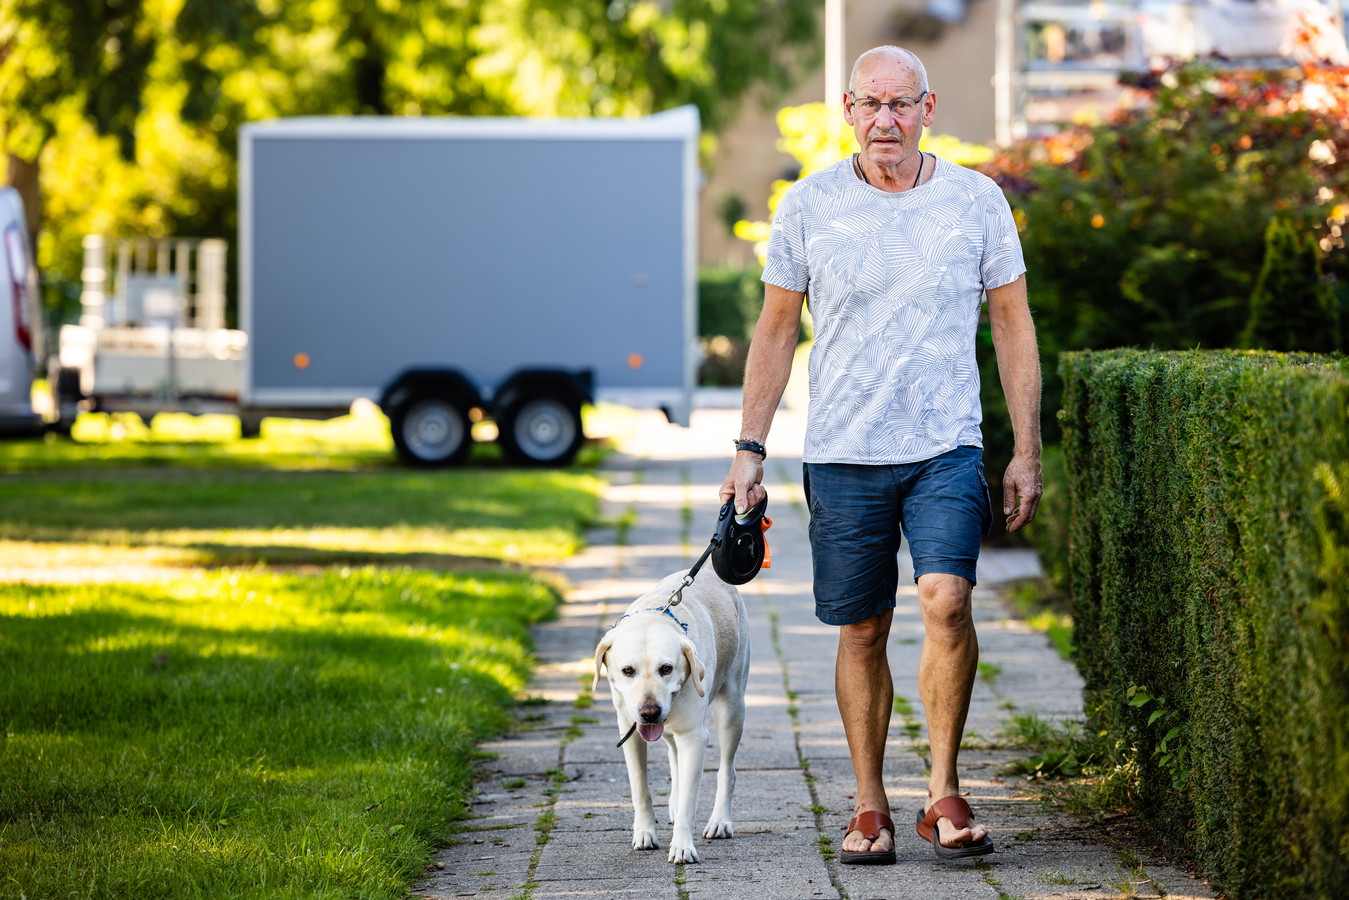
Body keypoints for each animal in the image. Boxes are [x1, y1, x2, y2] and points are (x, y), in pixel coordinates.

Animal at [596, 574, 755, 863]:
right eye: (628, 670)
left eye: (666, 668)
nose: (649, 712)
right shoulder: (630, 731)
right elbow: (640, 788)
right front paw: (645, 833)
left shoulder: (693, 737)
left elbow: (689, 804)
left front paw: (682, 846)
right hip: (669, 728)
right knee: (673, 756)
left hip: (732, 708)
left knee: (727, 769)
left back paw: (720, 821)